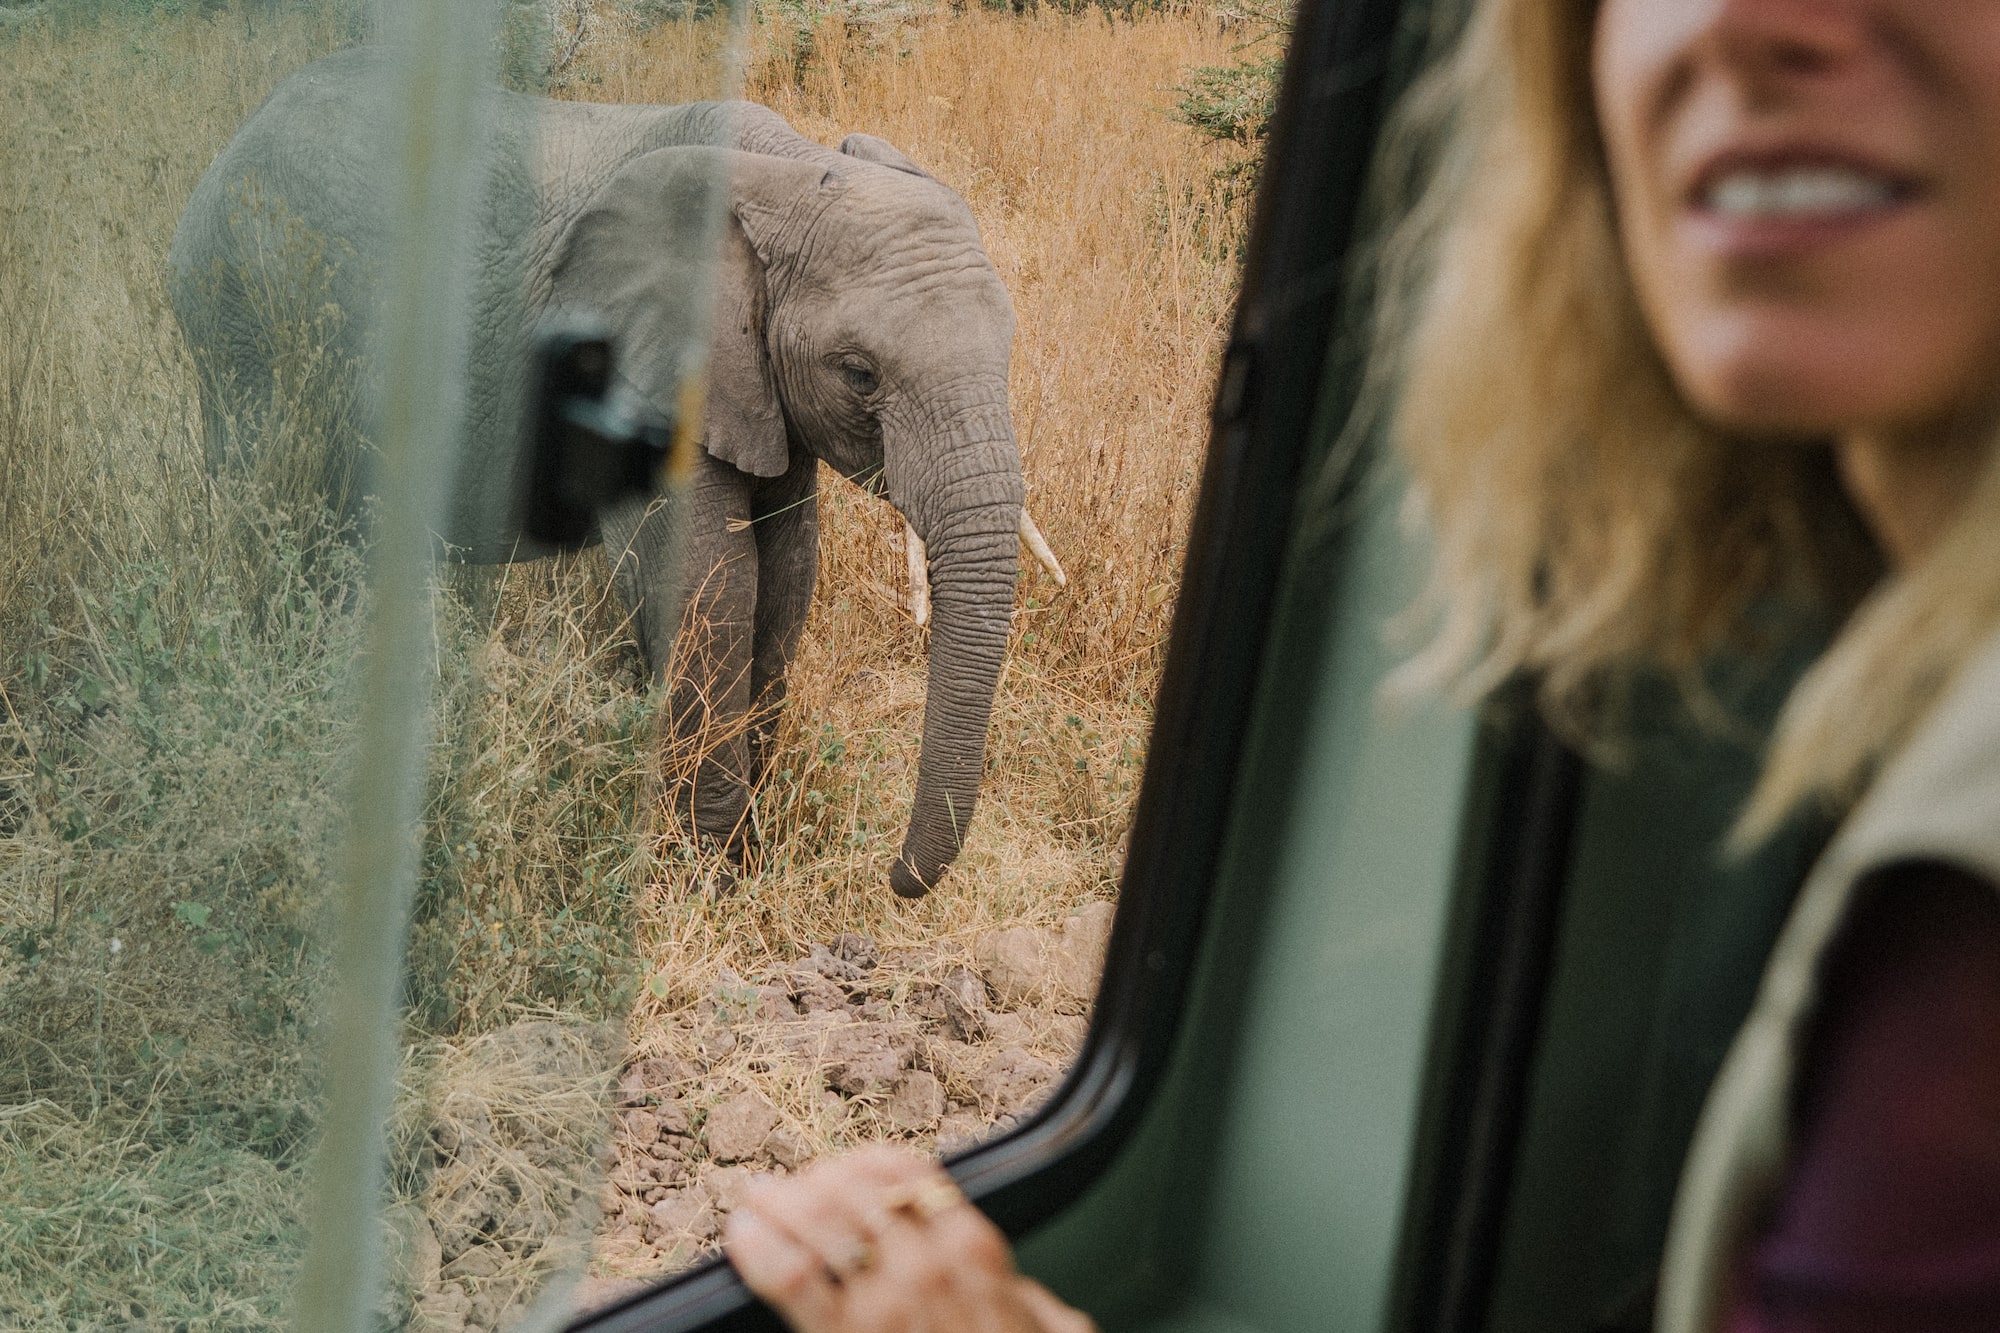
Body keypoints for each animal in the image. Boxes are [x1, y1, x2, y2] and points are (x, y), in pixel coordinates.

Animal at [168, 46, 1064, 898]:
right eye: (859, 373)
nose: (895, 877)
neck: (784, 173)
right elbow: (711, 585)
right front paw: (712, 876)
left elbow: (786, 575)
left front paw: (749, 853)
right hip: (241, 316)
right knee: (275, 510)